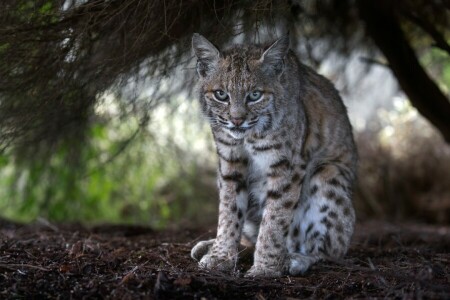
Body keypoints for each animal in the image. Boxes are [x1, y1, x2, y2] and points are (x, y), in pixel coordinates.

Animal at [191, 32, 358, 276]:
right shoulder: (230, 162)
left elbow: (274, 218)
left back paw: (296, 259)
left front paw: (265, 268)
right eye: (221, 95)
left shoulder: (286, 166)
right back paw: (212, 246)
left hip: (328, 172)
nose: (237, 120)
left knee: (332, 251)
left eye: (255, 95)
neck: (247, 137)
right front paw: (221, 256)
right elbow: (229, 211)